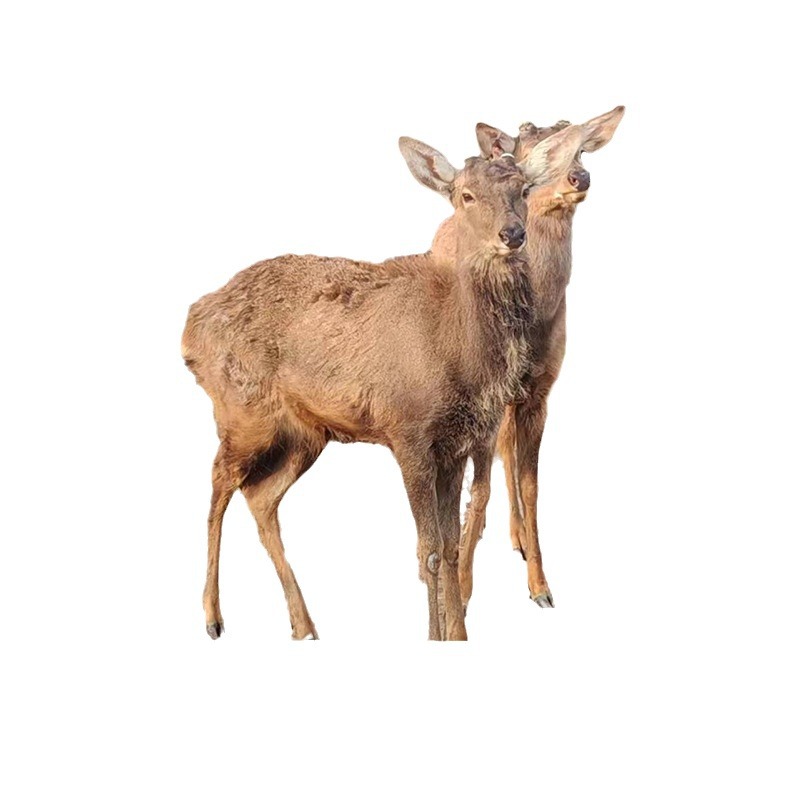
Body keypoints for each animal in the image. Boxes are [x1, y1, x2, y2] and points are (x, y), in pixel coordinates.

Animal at [182, 138, 536, 641]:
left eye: (524, 189)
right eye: (466, 195)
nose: (512, 234)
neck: (460, 354)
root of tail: (189, 327)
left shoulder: (457, 444)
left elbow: (451, 545)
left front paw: (459, 635)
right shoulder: (408, 431)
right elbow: (428, 551)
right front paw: (435, 637)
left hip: (306, 434)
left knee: (261, 497)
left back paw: (304, 625)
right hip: (242, 411)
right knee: (218, 485)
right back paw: (213, 617)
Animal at [428, 106, 625, 612]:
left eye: (581, 148)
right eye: (529, 152)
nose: (580, 177)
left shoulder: (541, 391)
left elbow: (532, 482)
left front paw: (541, 586)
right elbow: (483, 485)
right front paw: (464, 587)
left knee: (508, 452)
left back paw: (515, 537)